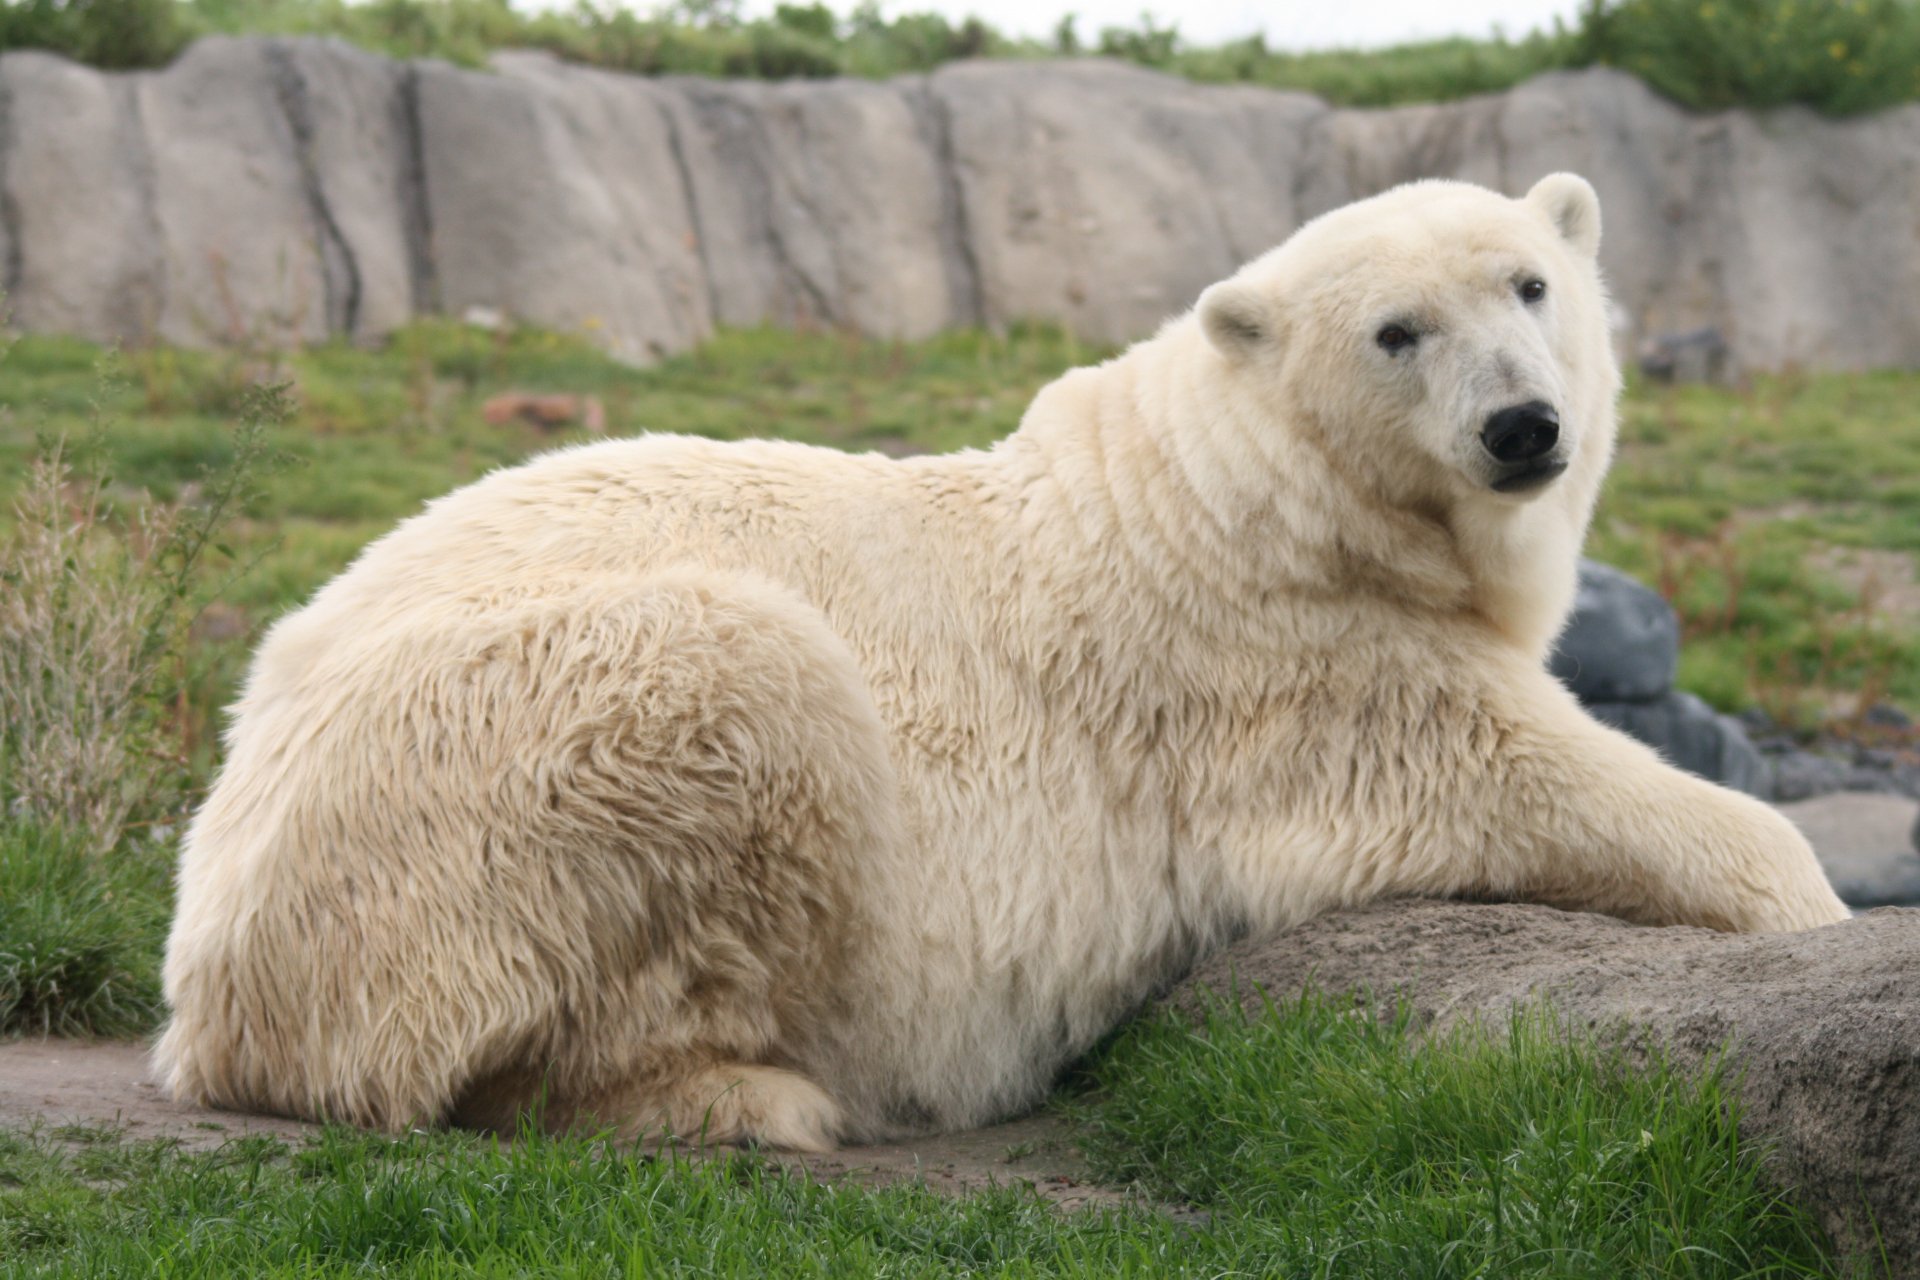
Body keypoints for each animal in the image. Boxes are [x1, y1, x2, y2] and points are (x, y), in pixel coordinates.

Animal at [156, 174, 1849, 1152]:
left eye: (1530, 285)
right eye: (1394, 330)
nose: (1522, 427)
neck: (1239, 494)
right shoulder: (1279, 663)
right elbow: (1500, 767)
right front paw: (1809, 904)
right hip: (465, 782)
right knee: (735, 700)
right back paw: (742, 1097)